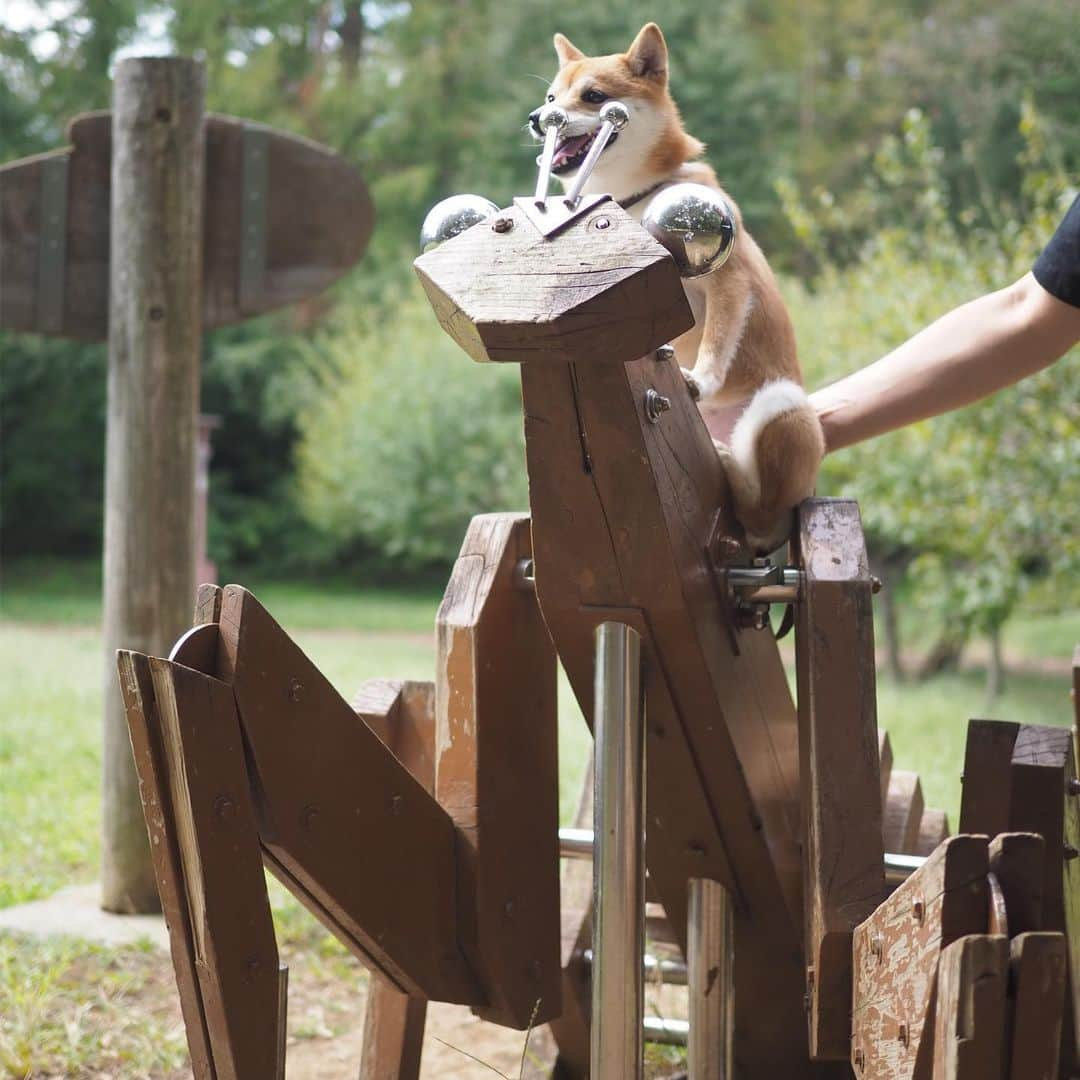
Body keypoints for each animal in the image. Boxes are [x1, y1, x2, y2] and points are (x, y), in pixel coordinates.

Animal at [533, 23, 825, 548]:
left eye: (593, 96)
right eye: (550, 97)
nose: (536, 119)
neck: (632, 196)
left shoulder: (729, 280)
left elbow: (716, 341)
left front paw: (701, 378)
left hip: (781, 405)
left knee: (757, 515)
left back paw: (732, 466)